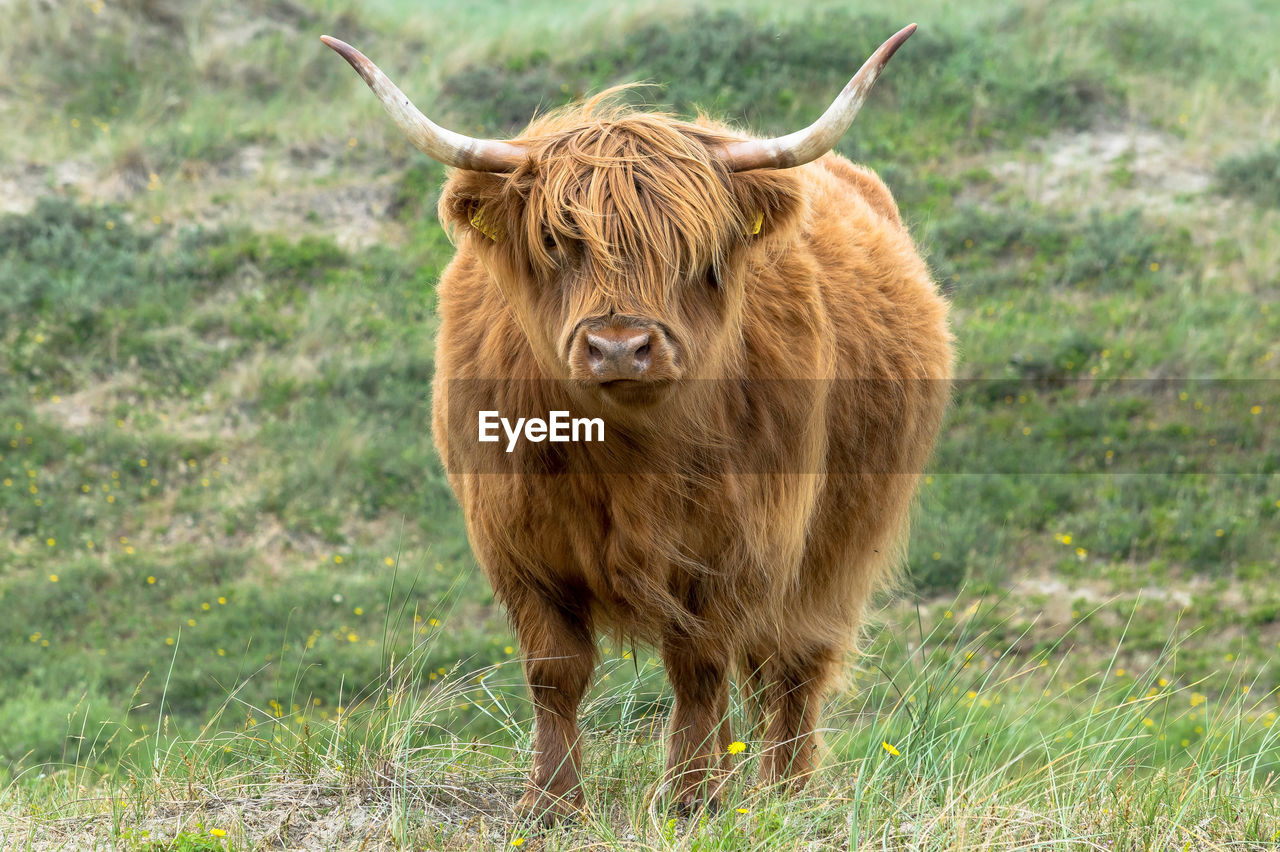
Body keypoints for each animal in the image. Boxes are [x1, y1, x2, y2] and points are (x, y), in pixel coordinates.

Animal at [325, 24, 952, 823]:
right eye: (558, 242)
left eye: (690, 248)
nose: (619, 346)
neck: (622, 455)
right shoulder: (518, 545)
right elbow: (555, 672)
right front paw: (552, 801)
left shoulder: (731, 545)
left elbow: (699, 666)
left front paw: (689, 797)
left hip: (835, 544)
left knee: (793, 666)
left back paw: (783, 792)